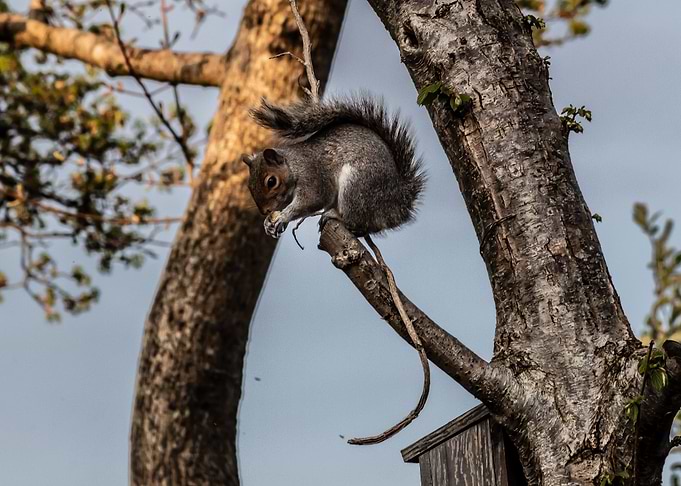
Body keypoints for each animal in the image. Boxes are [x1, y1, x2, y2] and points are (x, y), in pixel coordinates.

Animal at [242, 96, 426, 238]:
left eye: (271, 181)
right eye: (249, 186)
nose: (264, 211)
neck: (294, 166)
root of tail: (397, 203)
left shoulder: (312, 176)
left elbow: (312, 200)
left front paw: (283, 217)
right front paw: (269, 223)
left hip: (357, 185)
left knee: (357, 220)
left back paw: (334, 215)